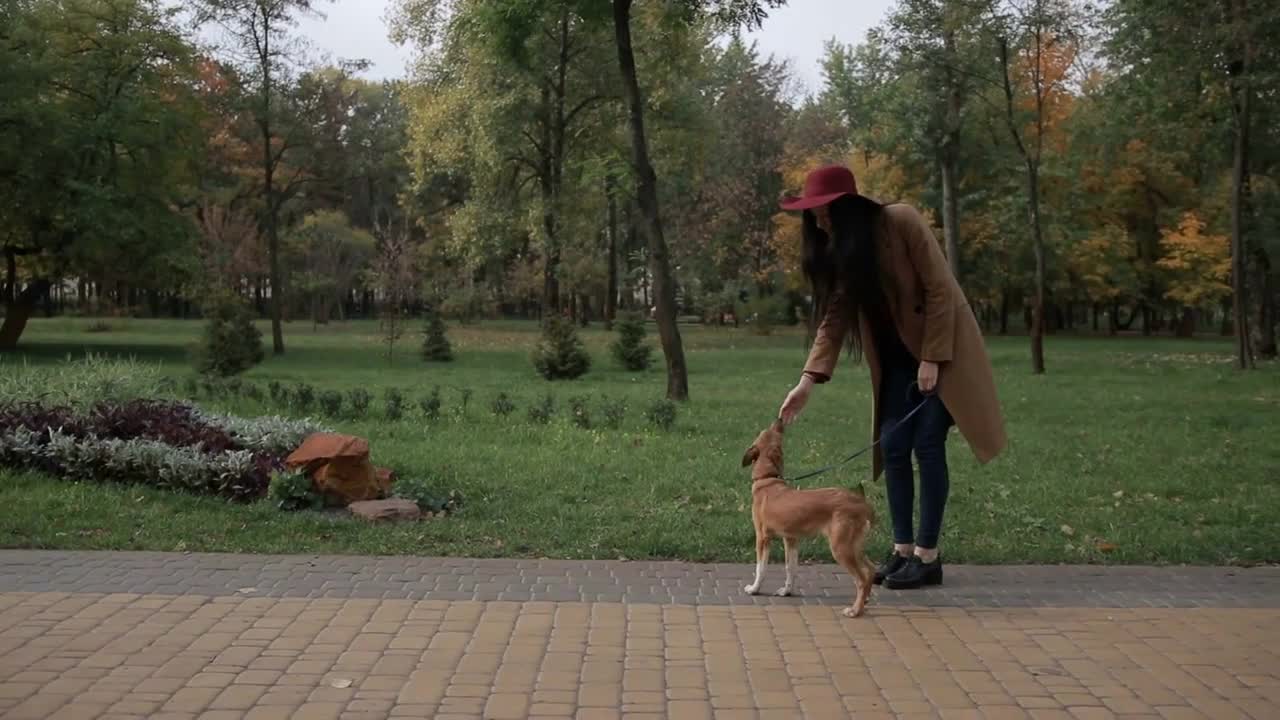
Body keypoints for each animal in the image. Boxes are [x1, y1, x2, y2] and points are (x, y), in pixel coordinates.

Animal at [747, 420, 875, 617]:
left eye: (763, 431)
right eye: (773, 432)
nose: (780, 421)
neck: (767, 480)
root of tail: (861, 503)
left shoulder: (762, 537)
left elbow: (760, 568)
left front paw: (754, 589)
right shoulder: (791, 539)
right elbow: (790, 567)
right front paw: (786, 591)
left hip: (841, 548)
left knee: (861, 578)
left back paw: (855, 610)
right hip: (855, 546)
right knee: (870, 571)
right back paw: (864, 600)